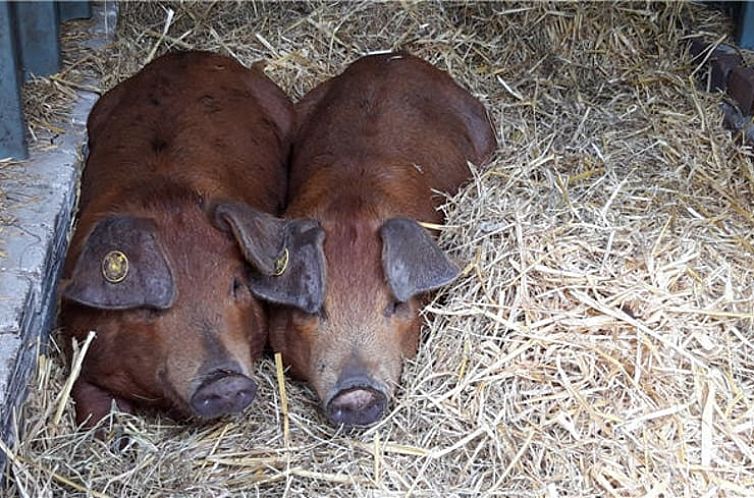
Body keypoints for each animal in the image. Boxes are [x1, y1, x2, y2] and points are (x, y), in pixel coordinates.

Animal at [61, 51, 324, 432]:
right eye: (148, 306)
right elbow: (90, 402)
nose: (225, 381)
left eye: (236, 285)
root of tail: (188, 54)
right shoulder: (78, 344)